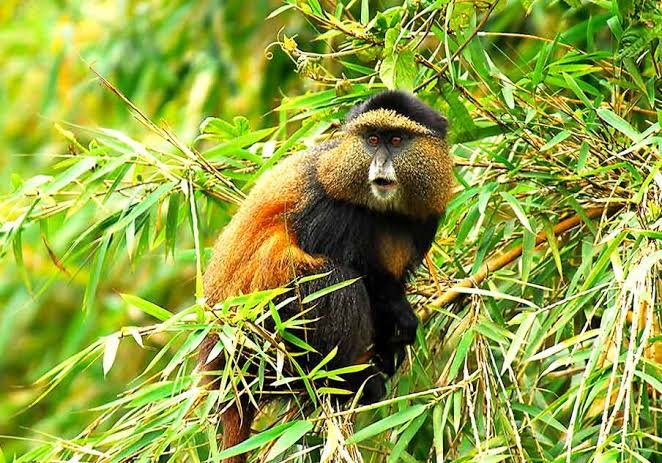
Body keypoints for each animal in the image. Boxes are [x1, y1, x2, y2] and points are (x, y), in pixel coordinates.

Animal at [199, 90, 453, 463]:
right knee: (335, 281)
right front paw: (402, 319)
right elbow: (366, 279)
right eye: (372, 139)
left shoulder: (428, 215)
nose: (380, 163)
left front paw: (390, 346)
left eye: (396, 140)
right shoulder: (329, 208)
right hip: (263, 340)